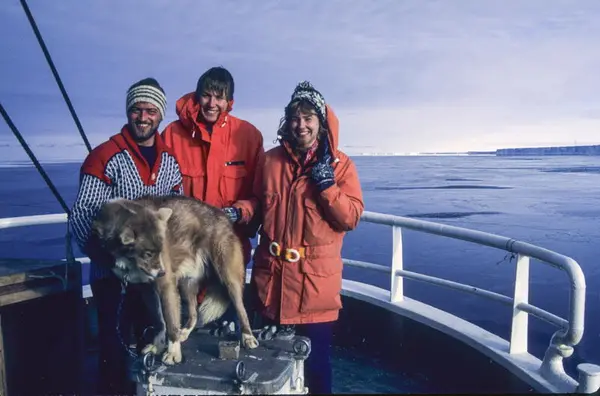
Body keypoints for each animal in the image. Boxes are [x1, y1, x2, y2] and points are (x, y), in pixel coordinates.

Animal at [91, 195, 258, 366]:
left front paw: (173, 352)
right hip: (186, 283)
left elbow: (170, 321)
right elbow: (159, 321)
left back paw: (248, 336)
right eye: (148, 253)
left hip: (228, 278)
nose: (162, 272)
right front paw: (158, 345)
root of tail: (222, 215)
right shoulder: (148, 289)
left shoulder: (166, 286)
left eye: (159, 250)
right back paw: (183, 332)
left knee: (241, 309)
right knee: (194, 313)